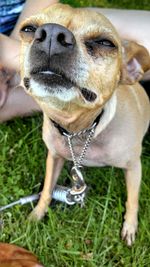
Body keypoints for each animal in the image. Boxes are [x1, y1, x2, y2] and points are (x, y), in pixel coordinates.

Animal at [19, 4, 149, 247]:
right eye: (28, 29)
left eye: (105, 43)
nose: (52, 34)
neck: (78, 130)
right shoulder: (54, 157)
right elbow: (47, 190)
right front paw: (37, 214)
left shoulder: (134, 168)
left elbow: (133, 200)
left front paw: (130, 227)